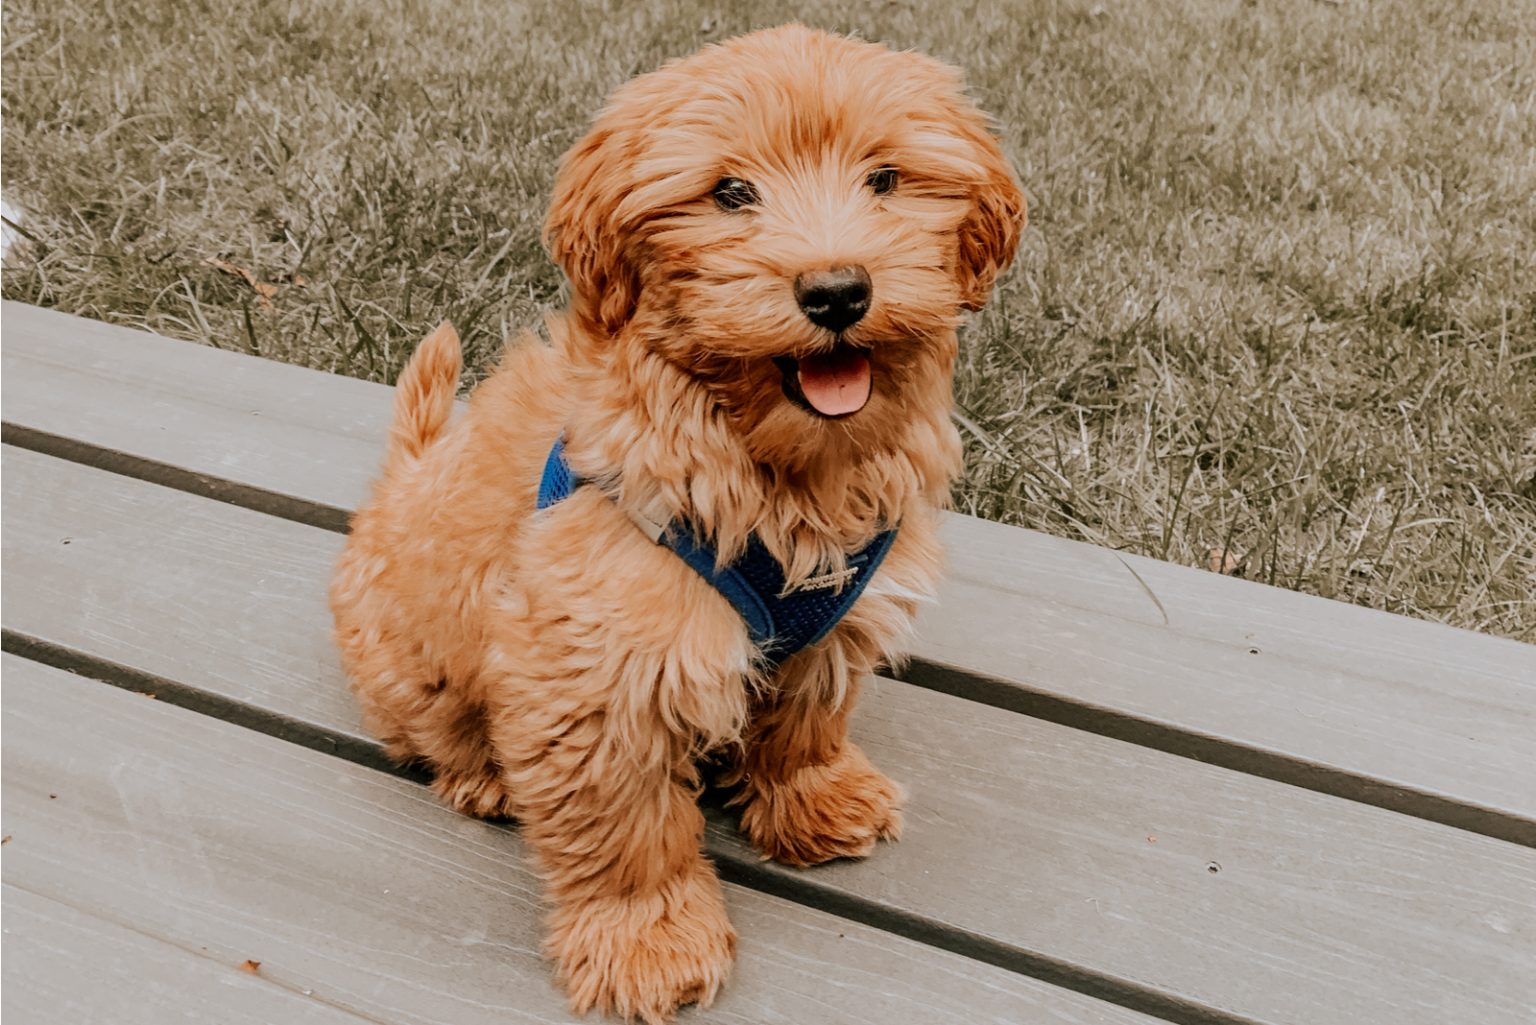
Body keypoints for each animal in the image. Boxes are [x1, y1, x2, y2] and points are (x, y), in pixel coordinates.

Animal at [330, 24, 1026, 1025]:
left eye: (885, 178)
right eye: (730, 193)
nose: (837, 291)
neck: (776, 472)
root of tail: (399, 481)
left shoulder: (835, 621)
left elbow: (807, 718)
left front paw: (815, 800)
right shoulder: (600, 663)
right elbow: (625, 826)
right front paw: (647, 943)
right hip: (408, 657)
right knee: (430, 723)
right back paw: (483, 771)